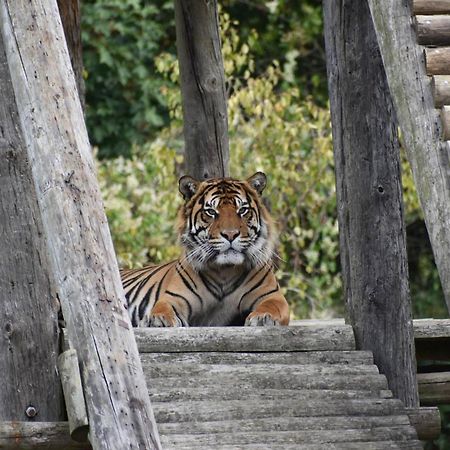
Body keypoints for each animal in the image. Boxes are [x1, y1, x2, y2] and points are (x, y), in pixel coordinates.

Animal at [120, 172, 288, 326]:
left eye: (242, 210)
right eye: (211, 212)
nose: (230, 234)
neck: (225, 271)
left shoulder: (273, 296)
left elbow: (271, 306)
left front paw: (263, 317)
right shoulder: (174, 297)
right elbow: (163, 307)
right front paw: (158, 319)